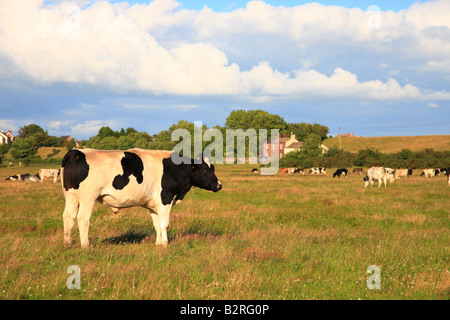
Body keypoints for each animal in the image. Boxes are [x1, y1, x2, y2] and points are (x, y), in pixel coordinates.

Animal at [60, 149, 222, 249]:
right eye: (204, 169)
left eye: (213, 168)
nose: (219, 185)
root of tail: (77, 152)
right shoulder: (166, 199)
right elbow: (164, 224)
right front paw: (165, 244)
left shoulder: (154, 204)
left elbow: (156, 225)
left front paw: (158, 244)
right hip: (88, 197)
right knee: (83, 218)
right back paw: (86, 245)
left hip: (71, 196)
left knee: (68, 217)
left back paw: (67, 243)